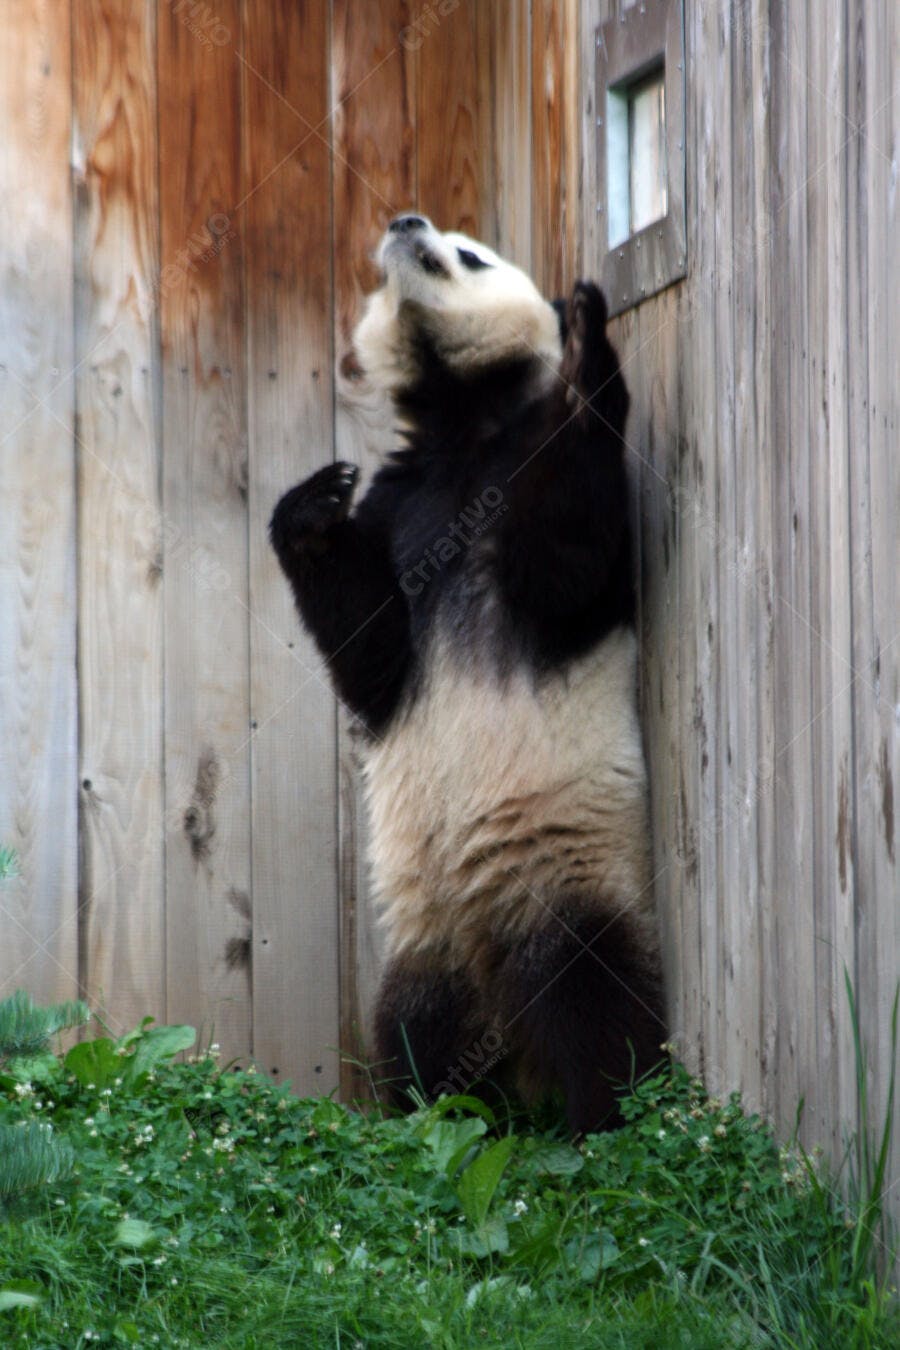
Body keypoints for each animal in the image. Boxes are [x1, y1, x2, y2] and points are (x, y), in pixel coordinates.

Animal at [269, 213, 665, 1134]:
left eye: (474, 253)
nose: (404, 221)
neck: (463, 423)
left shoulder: (524, 481)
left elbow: (567, 566)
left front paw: (587, 350)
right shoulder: (401, 505)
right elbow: (372, 656)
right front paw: (311, 509)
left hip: (567, 868)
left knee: (593, 991)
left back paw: (607, 1118)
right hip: (426, 936)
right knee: (412, 1027)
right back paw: (420, 1114)